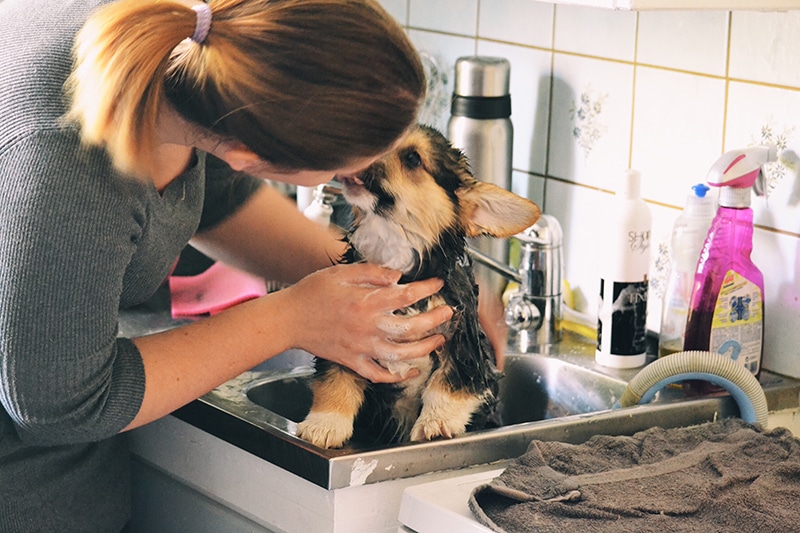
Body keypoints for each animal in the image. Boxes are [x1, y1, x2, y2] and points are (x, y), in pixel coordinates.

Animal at [296, 125, 540, 448]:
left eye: (412, 158)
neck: (397, 263)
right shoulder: (344, 338)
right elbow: (336, 380)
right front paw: (324, 425)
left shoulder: (463, 347)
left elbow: (446, 385)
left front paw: (436, 423)